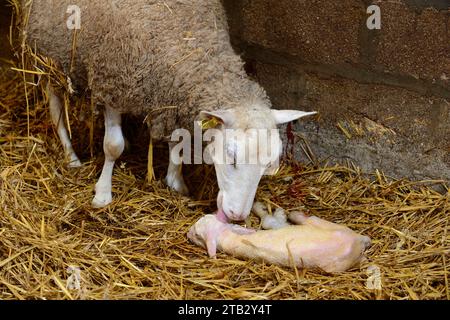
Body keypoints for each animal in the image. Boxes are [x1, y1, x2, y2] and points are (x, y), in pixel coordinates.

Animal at [24, 0, 316, 219]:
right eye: (231, 157)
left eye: (268, 163)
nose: (237, 216)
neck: (184, 42)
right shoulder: (113, 84)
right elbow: (112, 146)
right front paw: (103, 193)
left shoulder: (173, 95)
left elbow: (179, 142)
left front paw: (176, 182)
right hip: (49, 56)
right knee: (55, 106)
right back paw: (71, 155)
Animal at [188, 205, 370, 272]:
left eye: (197, 235)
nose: (187, 234)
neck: (227, 234)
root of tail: (354, 241)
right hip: (322, 223)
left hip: (333, 267)